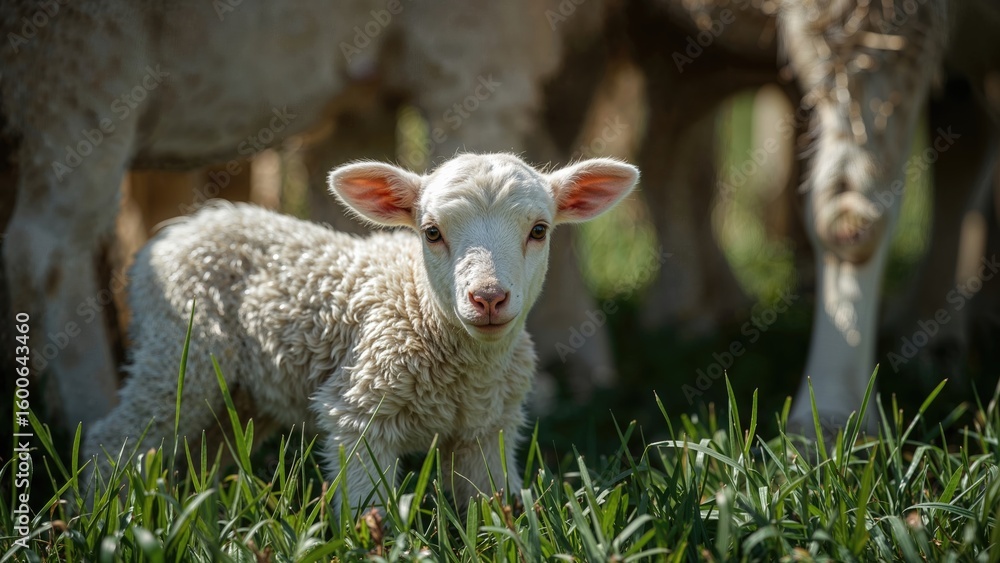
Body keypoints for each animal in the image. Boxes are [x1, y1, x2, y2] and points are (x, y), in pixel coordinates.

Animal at [83, 153, 639, 513]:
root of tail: (177, 232)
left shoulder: (488, 431)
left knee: (202, 451)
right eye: (431, 232)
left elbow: (490, 508)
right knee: (114, 438)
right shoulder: (360, 411)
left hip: (240, 394)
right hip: (179, 350)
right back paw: (101, 511)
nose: (487, 298)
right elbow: (366, 508)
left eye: (539, 231)